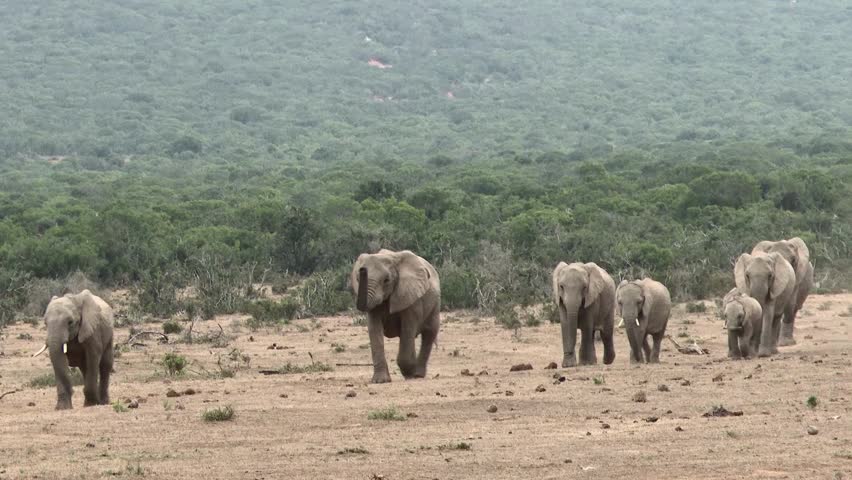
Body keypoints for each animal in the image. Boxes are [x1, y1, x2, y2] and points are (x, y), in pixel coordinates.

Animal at [351, 249, 440, 384]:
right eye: (357, 278)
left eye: (386, 280)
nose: (362, 269)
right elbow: (374, 329)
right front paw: (380, 381)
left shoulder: (410, 296)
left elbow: (408, 327)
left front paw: (409, 374)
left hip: (435, 304)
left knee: (429, 333)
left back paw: (417, 374)